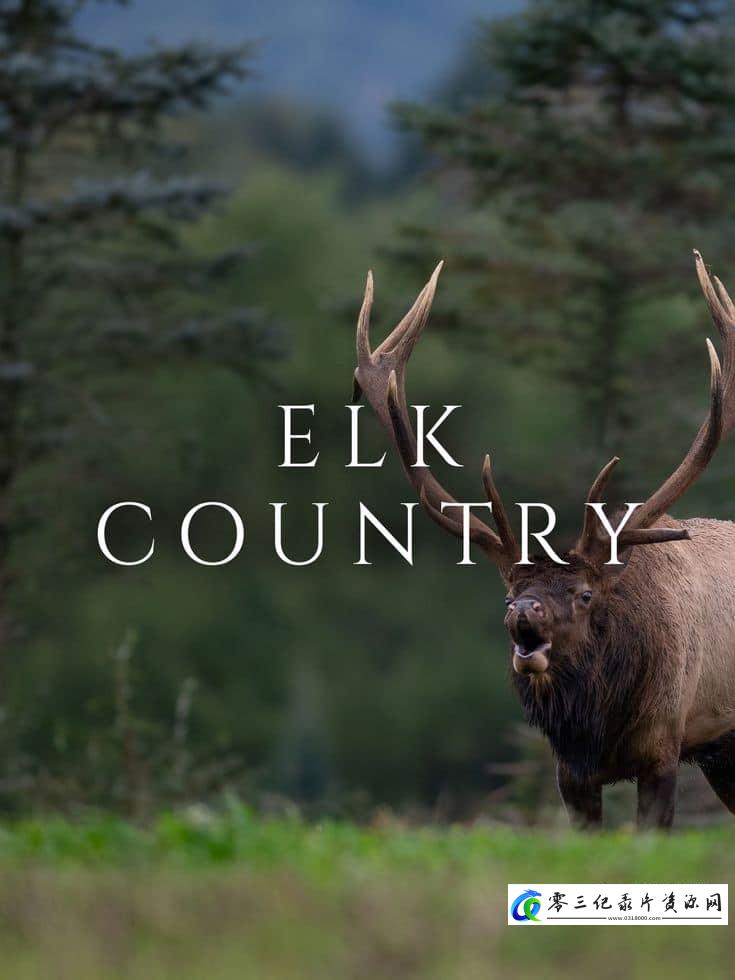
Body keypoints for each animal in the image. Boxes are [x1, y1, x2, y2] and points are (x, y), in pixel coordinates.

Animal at [352, 250, 735, 830]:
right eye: (509, 594)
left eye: (584, 594)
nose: (524, 612)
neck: (598, 729)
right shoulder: (570, 774)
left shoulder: (663, 745)